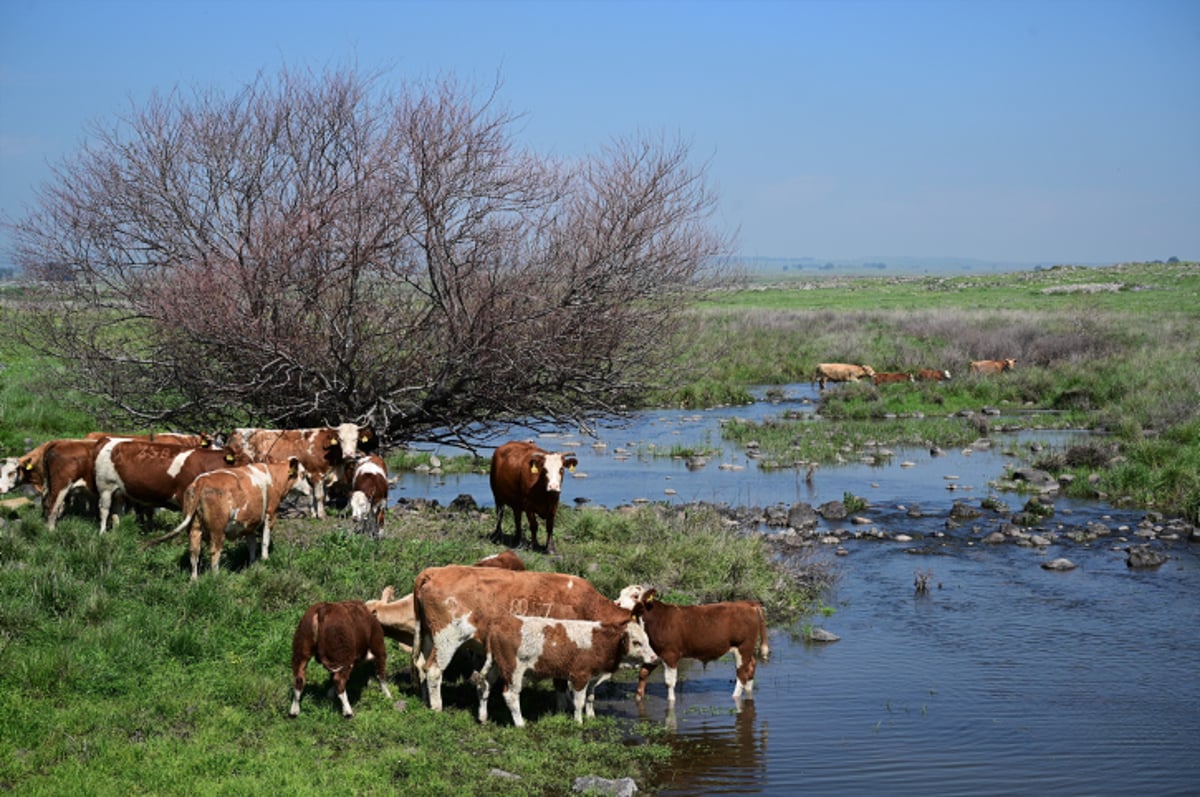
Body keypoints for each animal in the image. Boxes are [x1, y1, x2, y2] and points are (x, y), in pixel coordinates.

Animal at [157, 453, 300, 578]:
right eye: (303, 474)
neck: (273, 475)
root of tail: (201, 481)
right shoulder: (271, 513)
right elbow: (265, 540)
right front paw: (265, 559)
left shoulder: (250, 522)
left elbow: (252, 545)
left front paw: (253, 564)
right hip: (218, 530)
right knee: (215, 553)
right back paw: (216, 578)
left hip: (194, 526)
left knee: (194, 552)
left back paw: (194, 580)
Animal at [224, 422, 374, 523]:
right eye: (340, 439)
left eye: (356, 439)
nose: (349, 454)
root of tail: (236, 432)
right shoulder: (316, 474)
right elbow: (319, 496)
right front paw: (322, 515)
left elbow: (316, 495)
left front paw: (314, 514)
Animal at [410, 564, 643, 710]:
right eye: (638, 637)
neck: (587, 605)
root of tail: (434, 572)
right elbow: (560, 682)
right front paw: (563, 708)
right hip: (447, 638)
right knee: (433, 670)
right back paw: (437, 707)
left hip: (429, 637)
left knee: (421, 666)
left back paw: (426, 700)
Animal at [472, 609, 657, 729]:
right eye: (636, 642)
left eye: (647, 640)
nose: (654, 659)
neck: (600, 642)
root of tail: (499, 621)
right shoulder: (580, 676)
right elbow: (579, 702)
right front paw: (579, 722)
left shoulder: (592, 677)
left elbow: (590, 698)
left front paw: (591, 717)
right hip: (513, 671)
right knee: (511, 695)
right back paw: (520, 723)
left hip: (496, 665)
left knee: (484, 687)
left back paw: (483, 717)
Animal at [638, 585, 768, 705]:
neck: (658, 618)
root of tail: (749, 603)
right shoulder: (656, 653)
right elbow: (643, 673)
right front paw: (639, 697)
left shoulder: (669, 654)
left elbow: (669, 683)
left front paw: (671, 702)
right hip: (747, 649)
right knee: (751, 666)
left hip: (743, 646)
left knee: (742, 674)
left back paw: (735, 696)